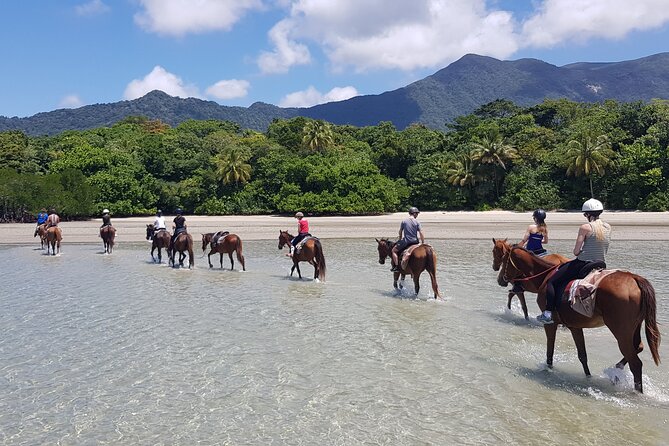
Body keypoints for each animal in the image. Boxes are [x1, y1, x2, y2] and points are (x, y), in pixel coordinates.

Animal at [496, 242, 656, 392]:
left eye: (504, 259)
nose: (500, 279)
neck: (544, 276)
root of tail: (634, 278)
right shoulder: (574, 326)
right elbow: (582, 356)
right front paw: (588, 377)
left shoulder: (551, 324)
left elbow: (550, 349)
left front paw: (547, 369)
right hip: (632, 329)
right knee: (638, 348)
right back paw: (616, 371)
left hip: (621, 332)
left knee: (635, 363)